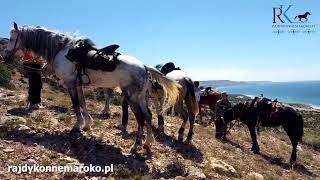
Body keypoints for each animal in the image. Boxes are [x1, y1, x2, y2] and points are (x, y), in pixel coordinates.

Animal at [4, 22, 180, 152]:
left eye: (12, 39)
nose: (4, 56)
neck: (62, 50)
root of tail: (143, 66)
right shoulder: (78, 84)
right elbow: (83, 103)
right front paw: (87, 124)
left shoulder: (70, 83)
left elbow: (76, 104)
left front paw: (77, 126)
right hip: (141, 97)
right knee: (149, 116)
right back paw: (148, 143)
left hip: (131, 97)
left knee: (141, 119)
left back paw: (136, 145)